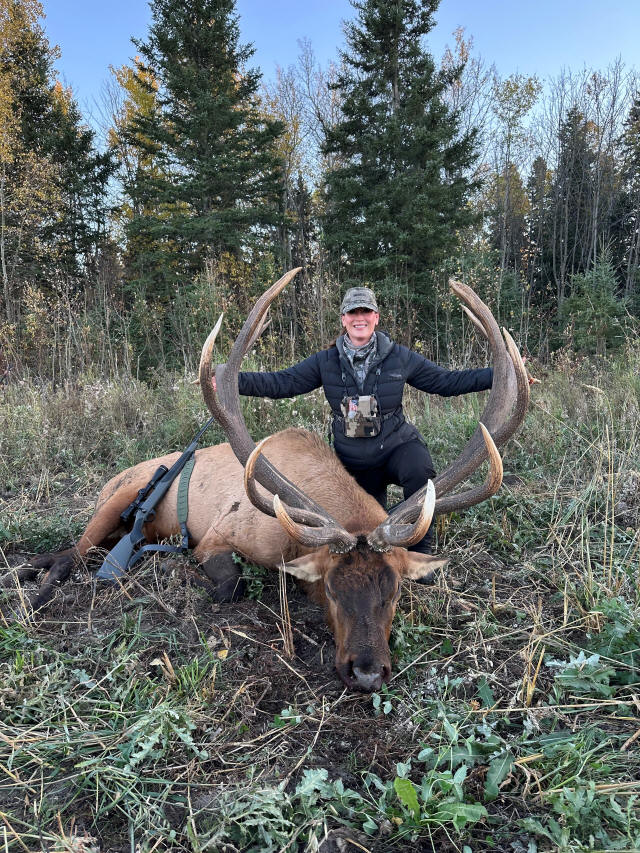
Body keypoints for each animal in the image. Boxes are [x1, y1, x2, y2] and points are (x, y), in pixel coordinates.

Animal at [8, 269, 529, 692]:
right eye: (331, 589)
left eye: (395, 590)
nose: (366, 673)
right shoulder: (217, 537)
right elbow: (229, 584)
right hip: (115, 500)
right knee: (73, 554)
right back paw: (36, 589)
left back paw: (27, 568)